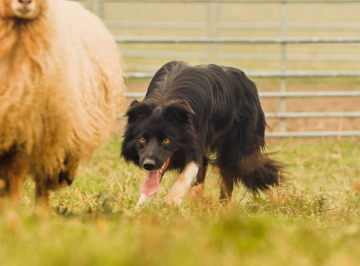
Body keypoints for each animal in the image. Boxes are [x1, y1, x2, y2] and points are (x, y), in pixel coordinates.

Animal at [121, 60, 284, 206]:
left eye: (166, 140)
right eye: (142, 140)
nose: (148, 165)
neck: (165, 100)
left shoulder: (194, 141)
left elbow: (189, 170)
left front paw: (172, 200)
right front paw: (142, 206)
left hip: (239, 149)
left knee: (232, 172)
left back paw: (224, 207)